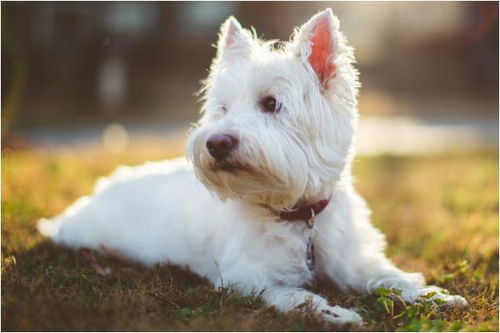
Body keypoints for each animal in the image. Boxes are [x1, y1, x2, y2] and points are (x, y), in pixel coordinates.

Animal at [39, 9, 464, 326]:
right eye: (223, 108)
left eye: (271, 103)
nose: (216, 143)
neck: (297, 215)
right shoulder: (247, 277)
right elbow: (296, 295)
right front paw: (335, 313)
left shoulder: (354, 260)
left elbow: (390, 276)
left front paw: (433, 295)